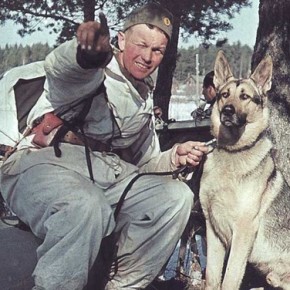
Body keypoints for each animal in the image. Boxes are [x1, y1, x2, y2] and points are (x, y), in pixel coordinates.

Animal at [199, 51, 290, 288]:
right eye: (224, 95)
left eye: (245, 97)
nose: (227, 111)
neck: (234, 152)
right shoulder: (213, 231)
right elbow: (212, 277)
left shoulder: (243, 232)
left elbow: (230, 279)